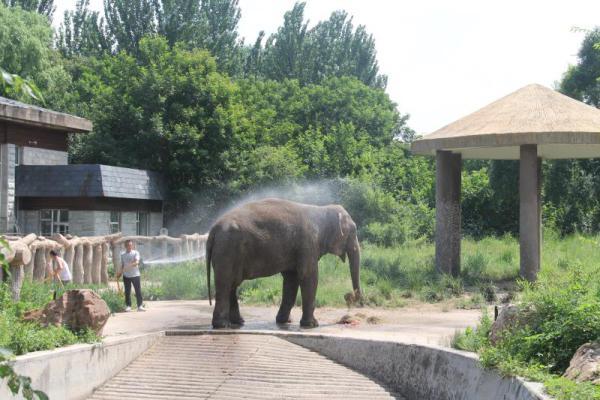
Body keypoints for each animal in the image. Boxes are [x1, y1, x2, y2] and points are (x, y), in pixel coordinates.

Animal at [205, 198, 360, 330]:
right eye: (353, 230)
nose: (349, 297)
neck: (321, 209)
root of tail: (213, 230)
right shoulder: (307, 244)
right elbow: (309, 276)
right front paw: (312, 325)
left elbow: (292, 279)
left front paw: (284, 321)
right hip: (228, 250)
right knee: (225, 284)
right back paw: (222, 325)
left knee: (232, 284)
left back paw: (238, 322)